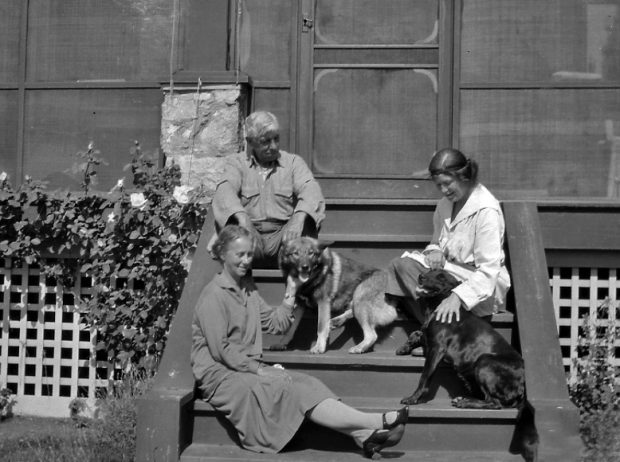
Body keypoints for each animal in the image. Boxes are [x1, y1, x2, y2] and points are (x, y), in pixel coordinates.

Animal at [400, 268, 524, 410]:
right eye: (431, 270)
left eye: (442, 278)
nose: (421, 276)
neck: (437, 305)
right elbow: (417, 333)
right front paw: (405, 347)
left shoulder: (437, 348)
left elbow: (425, 377)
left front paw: (413, 398)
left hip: (484, 361)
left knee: (494, 402)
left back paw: (464, 402)